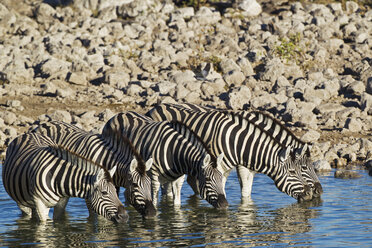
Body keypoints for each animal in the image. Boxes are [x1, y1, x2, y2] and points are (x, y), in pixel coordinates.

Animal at [102, 111, 230, 208]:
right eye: (208, 179)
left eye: (221, 178)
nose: (225, 205)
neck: (175, 153)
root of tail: (118, 114)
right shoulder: (154, 176)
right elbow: (154, 199)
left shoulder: (178, 179)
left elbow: (177, 203)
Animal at [147, 102, 316, 202]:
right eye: (297, 170)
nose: (312, 194)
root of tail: (156, 107)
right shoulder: (231, 167)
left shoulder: (235, 168)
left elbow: (246, 191)